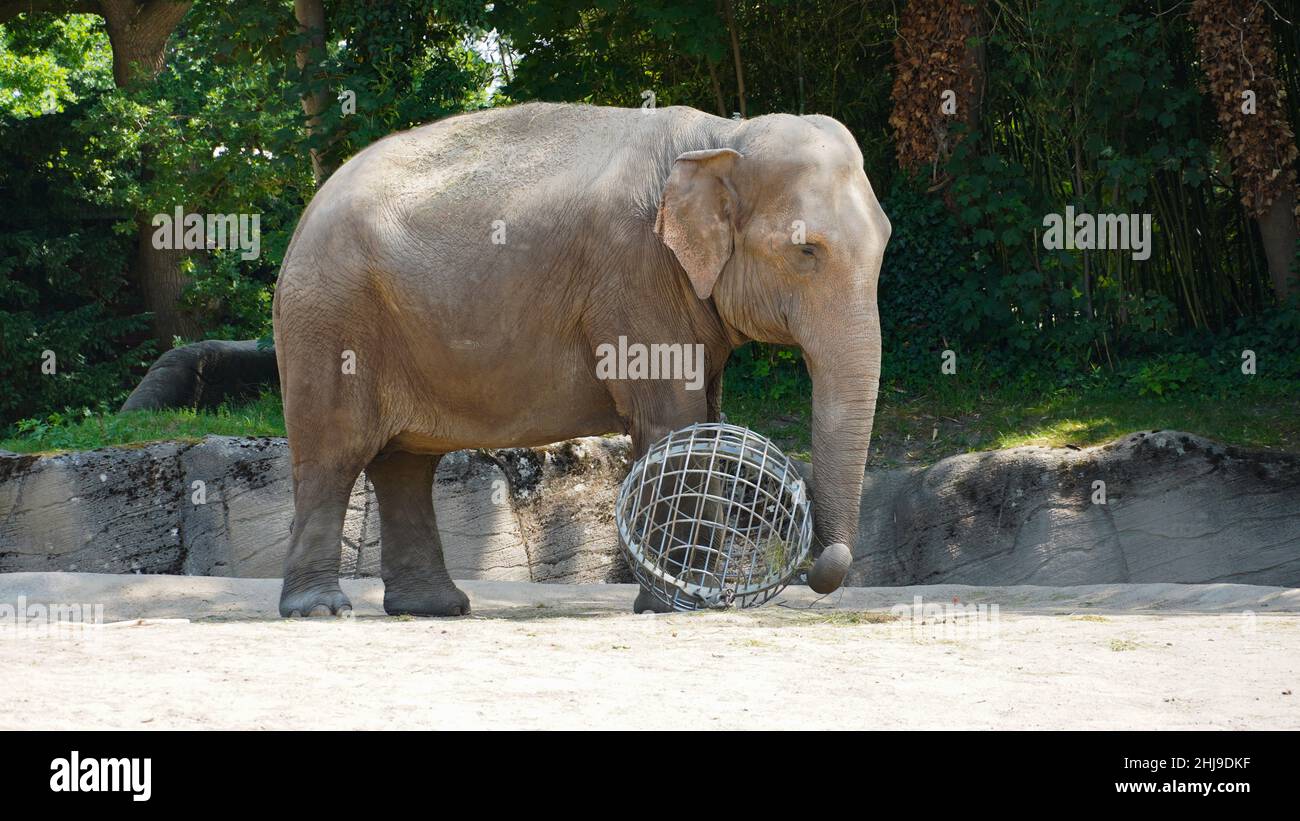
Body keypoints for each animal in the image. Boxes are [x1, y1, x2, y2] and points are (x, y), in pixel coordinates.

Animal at [269, 101, 889, 615]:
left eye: (884, 243)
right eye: (805, 250)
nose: (815, 567)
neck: (722, 135)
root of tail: (305, 215)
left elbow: (706, 424)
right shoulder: (636, 273)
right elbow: (674, 422)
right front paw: (679, 605)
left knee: (405, 463)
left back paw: (435, 608)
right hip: (330, 318)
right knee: (333, 454)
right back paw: (321, 609)